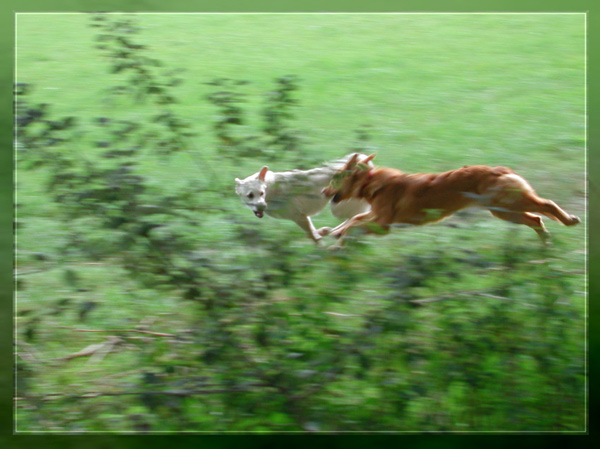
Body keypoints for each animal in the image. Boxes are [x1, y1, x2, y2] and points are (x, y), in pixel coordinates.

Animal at [233, 153, 370, 243]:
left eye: (261, 193)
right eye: (250, 195)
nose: (262, 206)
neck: (271, 189)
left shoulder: (299, 216)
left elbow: (313, 237)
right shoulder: (303, 217)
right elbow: (312, 233)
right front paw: (321, 234)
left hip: (337, 208)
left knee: (356, 217)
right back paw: (333, 232)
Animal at [324, 155, 580, 245]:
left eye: (334, 179)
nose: (324, 192)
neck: (371, 182)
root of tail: (501, 169)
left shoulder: (384, 223)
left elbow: (355, 223)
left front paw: (339, 241)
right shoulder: (375, 215)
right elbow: (355, 218)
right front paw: (334, 232)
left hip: (507, 205)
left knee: (546, 205)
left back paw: (569, 221)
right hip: (504, 211)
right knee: (536, 219)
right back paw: (546, 241)